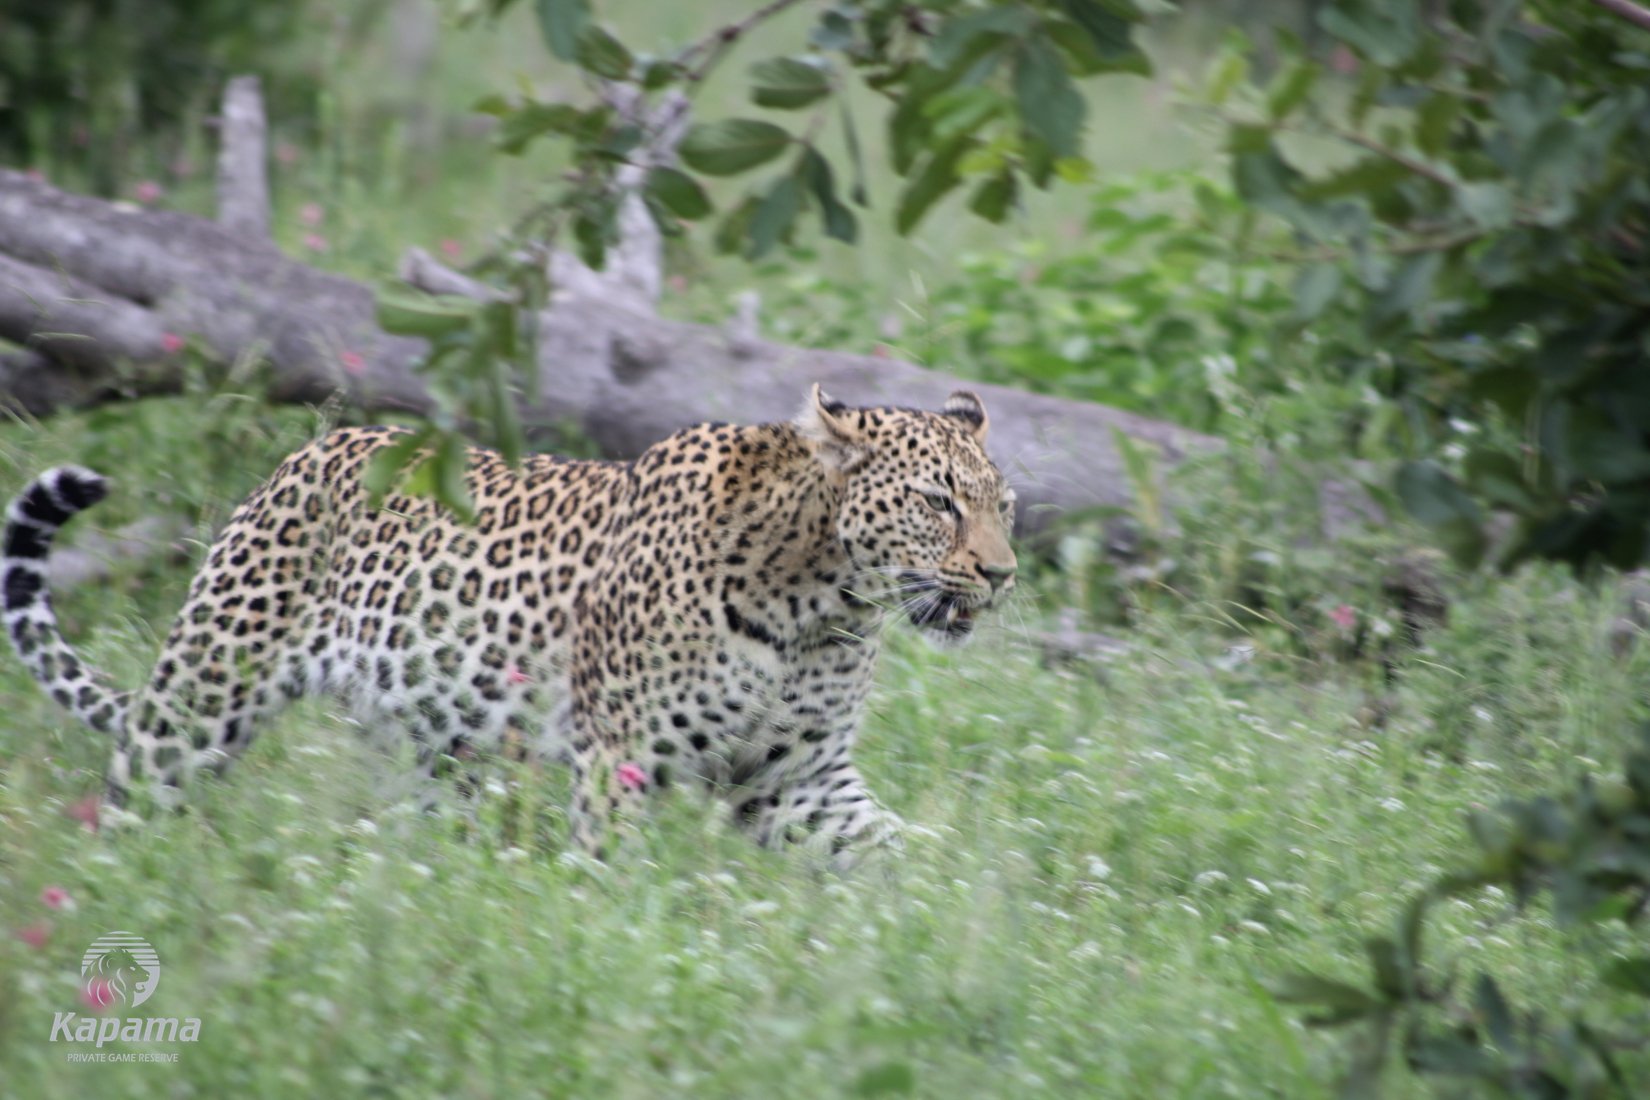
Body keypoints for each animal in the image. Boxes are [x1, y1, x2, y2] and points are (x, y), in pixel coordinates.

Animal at [2, 385, 1017, 863]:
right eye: (937, 503)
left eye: (1003, 505)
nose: (1002, 574)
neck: (819, 603)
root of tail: (311, 449)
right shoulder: (621, 760)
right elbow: (613, 883)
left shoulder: (798, 778)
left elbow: (893, 859)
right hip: (205, 695)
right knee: (133, 797)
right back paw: (126, 896)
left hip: (425, 748)